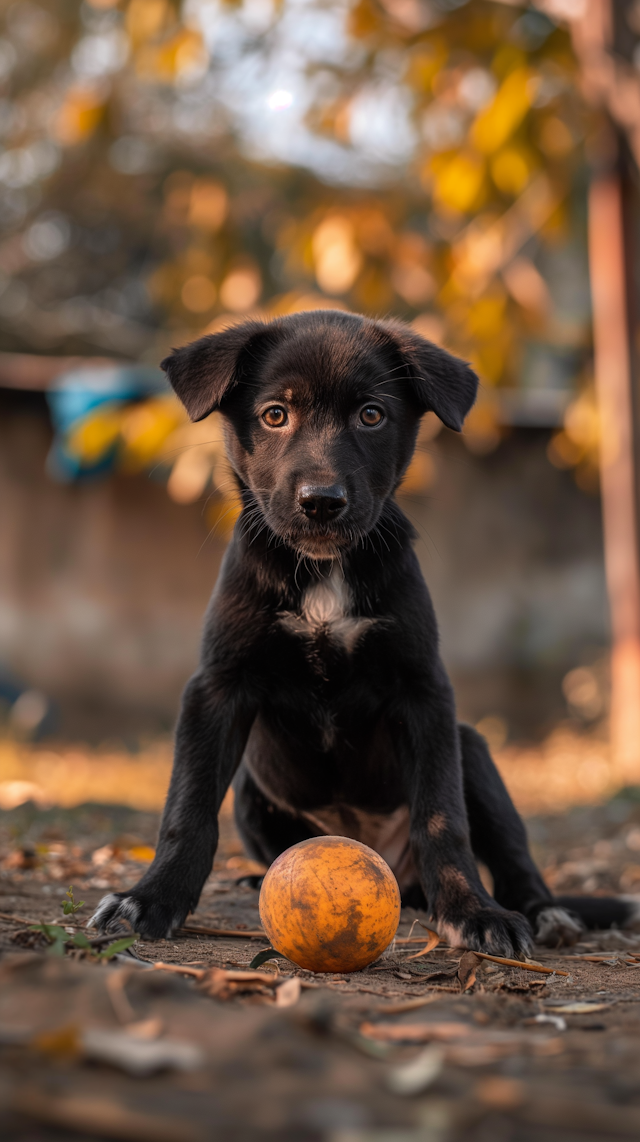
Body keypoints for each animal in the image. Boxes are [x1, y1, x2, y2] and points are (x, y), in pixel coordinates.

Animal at [92, 312, 635, 954]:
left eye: (371, 415)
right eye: (275, 414)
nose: (322, 502)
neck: (325, 572)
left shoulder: (424, 690)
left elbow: (443, 817)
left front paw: (474, 912)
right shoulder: (217, 687)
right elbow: (188, 807)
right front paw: (150, 899)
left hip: (472, 749)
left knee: (513, 854)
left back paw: (544, 911)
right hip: (252, 784)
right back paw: (254, 879)